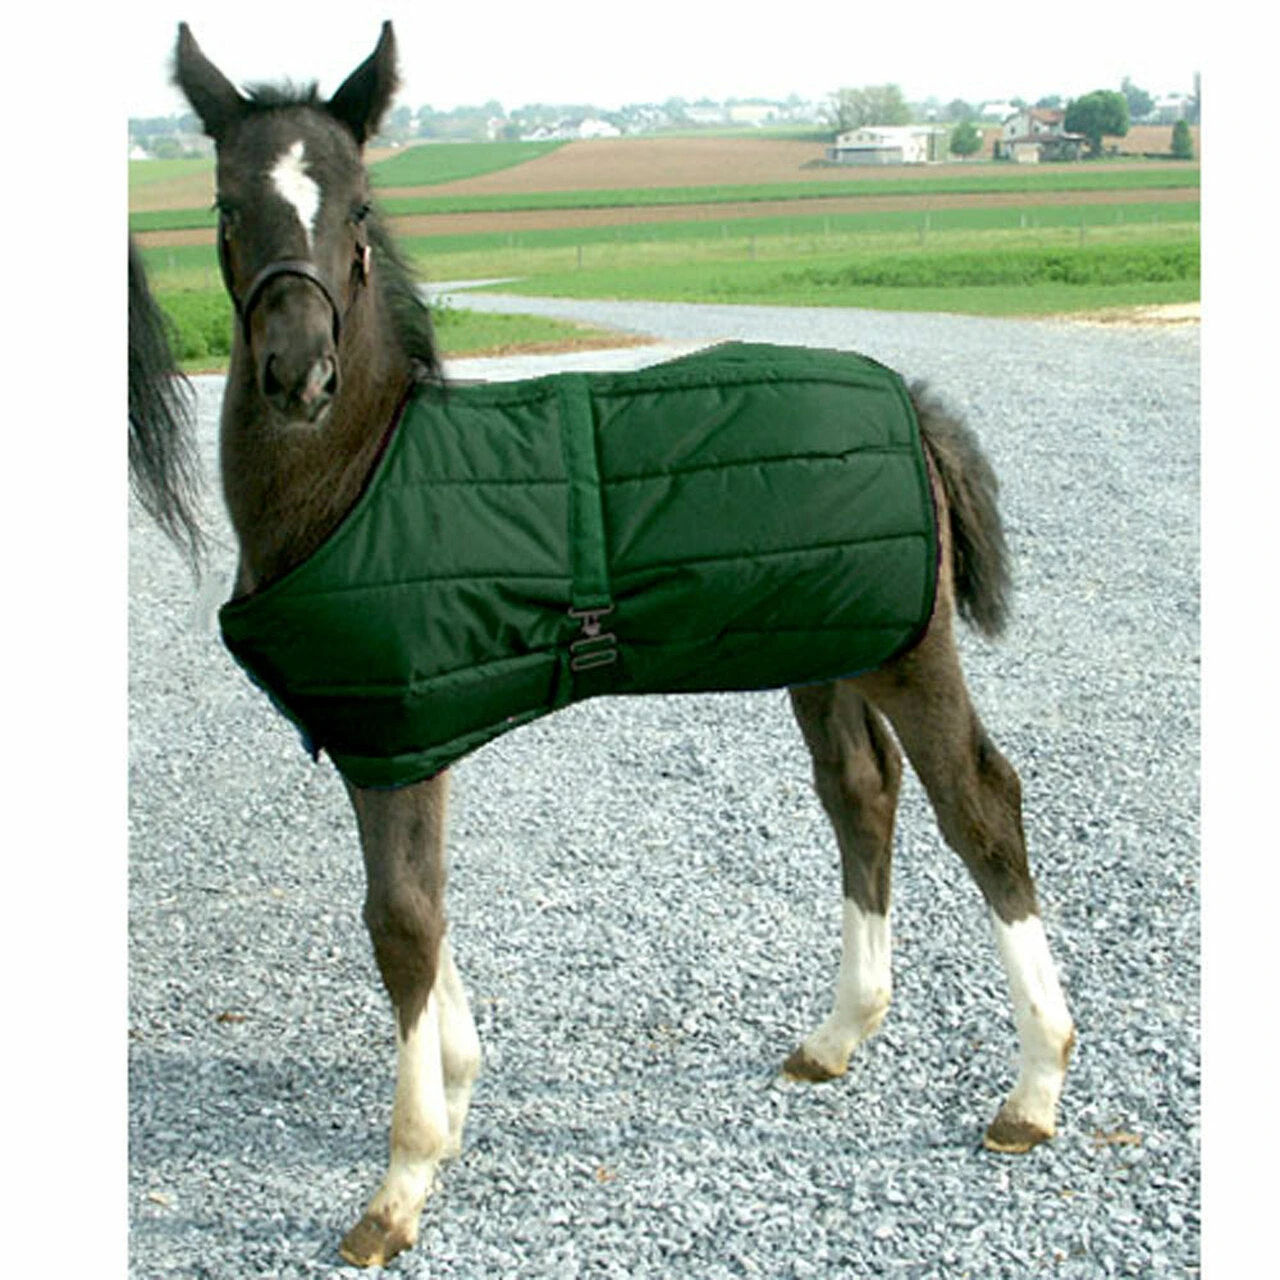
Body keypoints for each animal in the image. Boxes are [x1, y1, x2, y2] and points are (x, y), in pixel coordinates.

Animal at [140, 22, 1076, 1268]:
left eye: (354, 204)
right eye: (225, 204)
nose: (300, 375)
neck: (362, 475)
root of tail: (911, 400)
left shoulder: (400, 734)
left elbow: (400, 921)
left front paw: (401, 1180)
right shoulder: (395, 733)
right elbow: (423, 906)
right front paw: (458, 1090)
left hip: (905, 649)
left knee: (976, 801)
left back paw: (1032, 1088)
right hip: (821, 647)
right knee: (860, 793)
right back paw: (836, 1034)